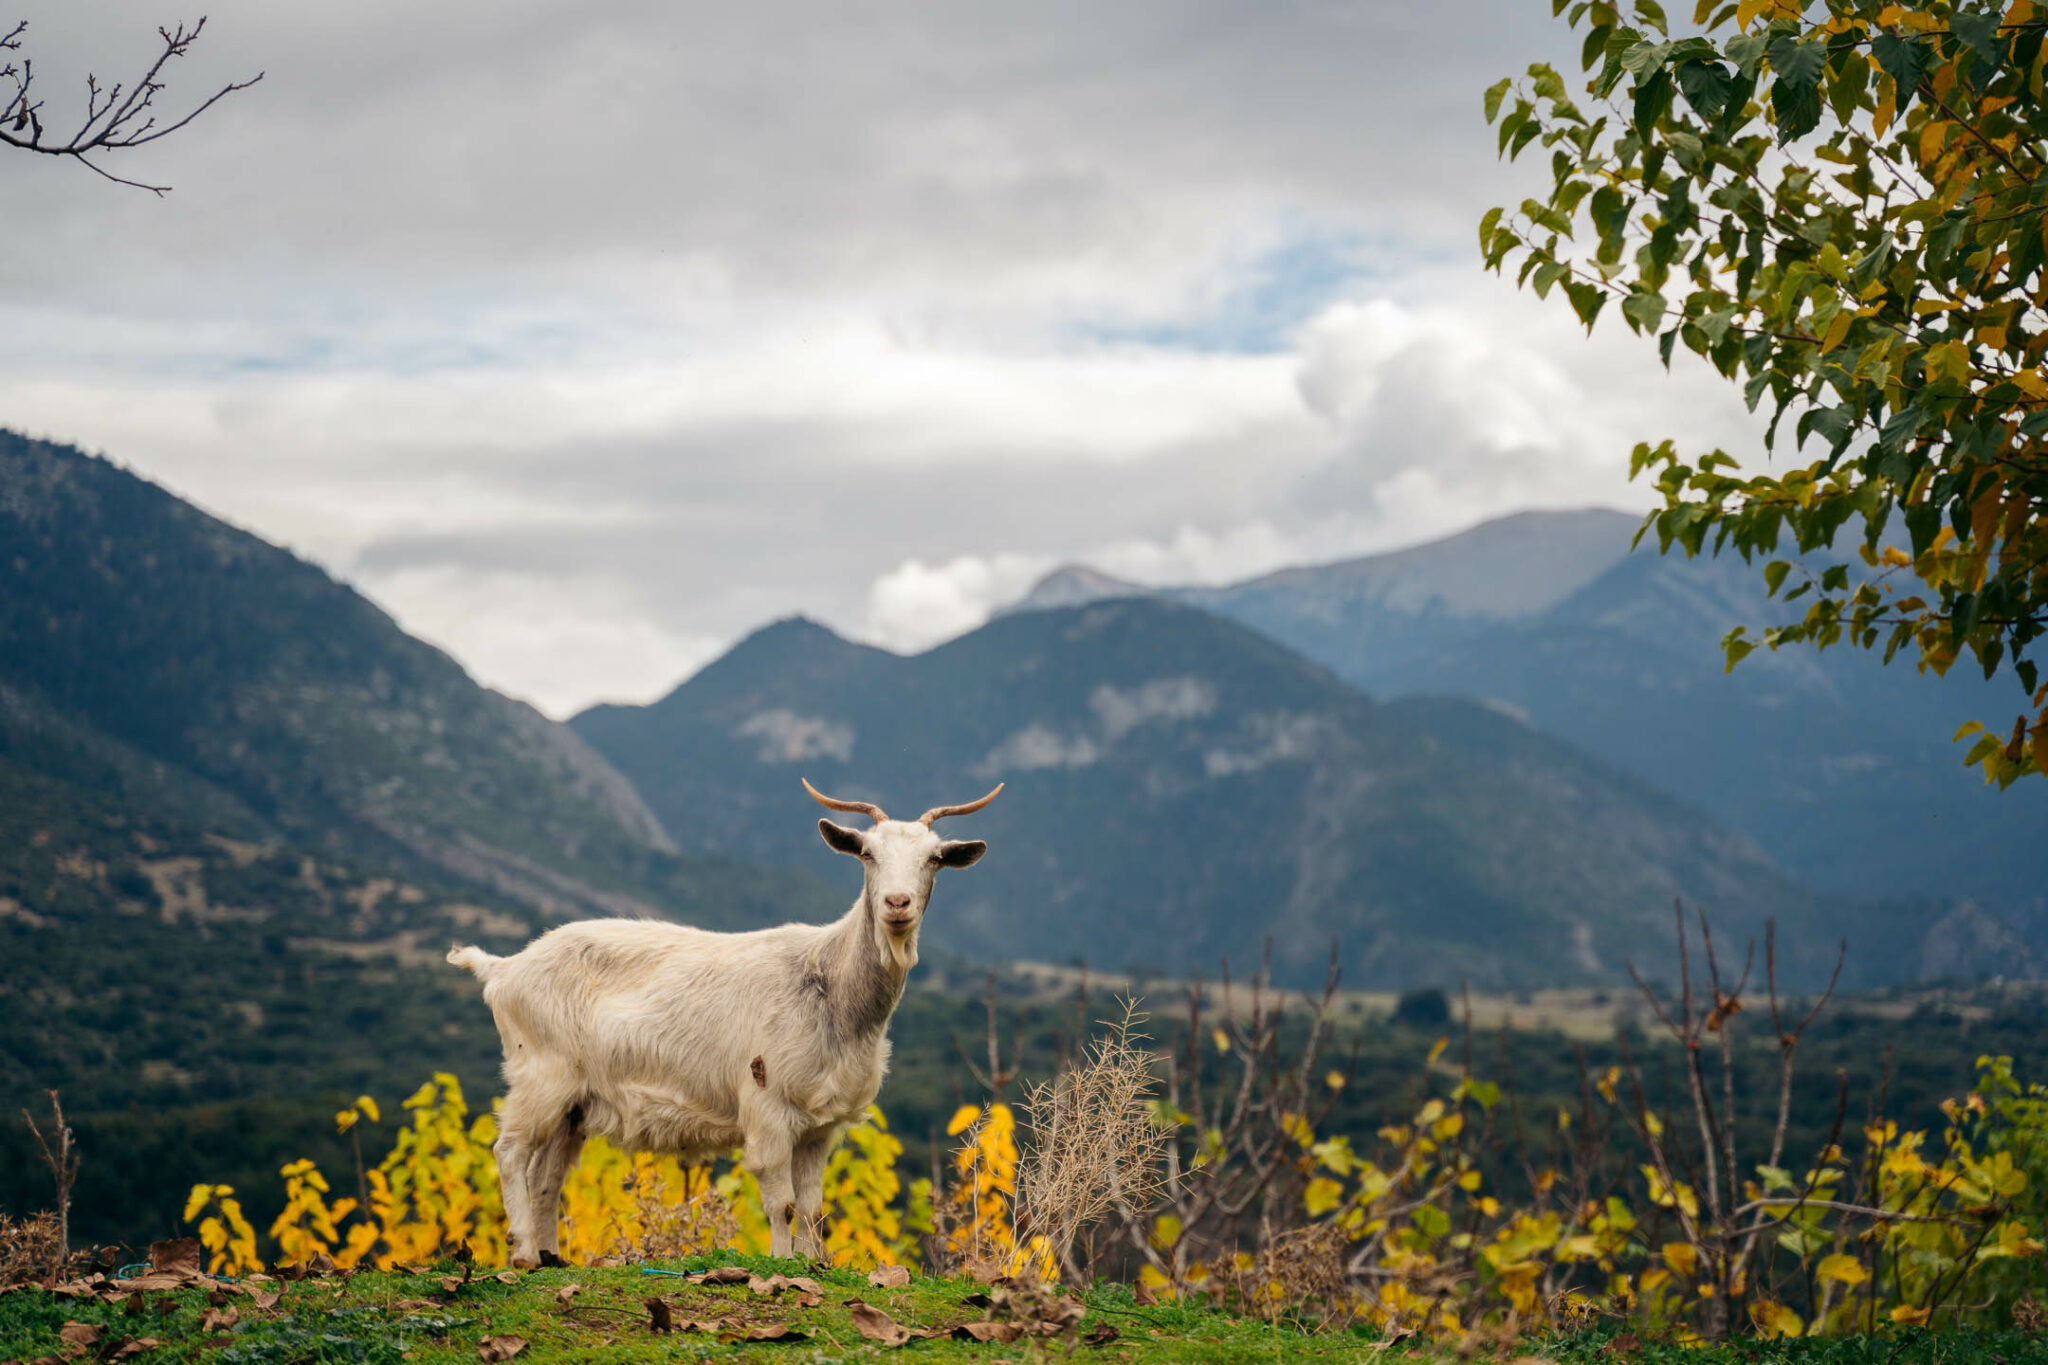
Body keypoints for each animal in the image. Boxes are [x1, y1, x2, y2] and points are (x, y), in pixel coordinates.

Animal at [448, 777, 999, 1268]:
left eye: (934, 859)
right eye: (866, 853)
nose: (897, 904)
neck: (831, 987)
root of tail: (504, 969)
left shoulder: (821, 1125)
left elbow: (813, 1206)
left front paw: (813, 1264)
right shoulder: (766, 1104)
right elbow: (783, 1202)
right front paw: (782, 1264)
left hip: (575, 1104)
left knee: (548, 1175)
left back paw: (550, 1256)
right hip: (541, 1074)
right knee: (510, 1151)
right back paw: (523, 1252)